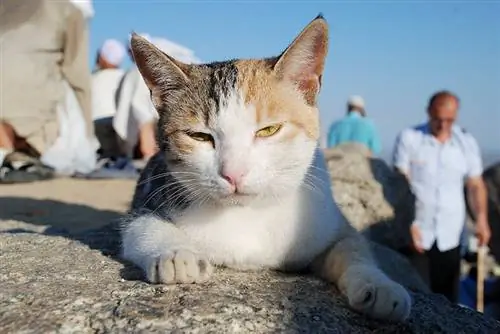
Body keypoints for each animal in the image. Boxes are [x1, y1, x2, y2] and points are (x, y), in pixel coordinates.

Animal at [121, 15, 410, 320]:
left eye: (268, 130)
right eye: (199, 136)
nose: (233, 173)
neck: (250, 213)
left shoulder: (330, 221)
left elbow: (352, 246)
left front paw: (381, 286)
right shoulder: (150, 194)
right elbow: (142, 226)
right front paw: (178, 255)